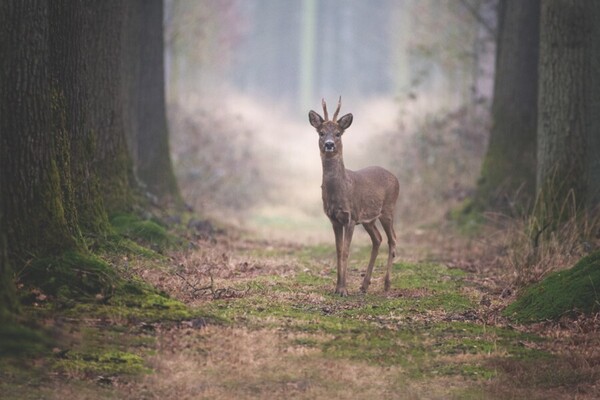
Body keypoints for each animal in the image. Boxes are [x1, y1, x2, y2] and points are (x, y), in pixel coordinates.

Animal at [310, 97, 398, 296]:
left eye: (338, 133)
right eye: (321, 133)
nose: (329, 144)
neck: (341, 189)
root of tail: (396, 178)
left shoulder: (351, 216)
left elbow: (346, 251)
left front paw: (343, 289)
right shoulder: (334, 219)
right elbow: (338, 251)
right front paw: (337, 288)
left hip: (388, 209)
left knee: (392, 240)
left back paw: (387, 284)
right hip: (369, 220)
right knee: (378, 239)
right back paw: (364, 285)